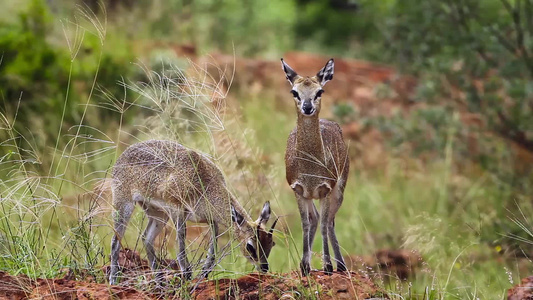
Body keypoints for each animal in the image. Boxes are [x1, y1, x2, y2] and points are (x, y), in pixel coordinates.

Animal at [106, 139, 276, 284]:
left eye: (271, 242)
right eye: (250, 246)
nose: (264, 267)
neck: (204, 181)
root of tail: (124, 154)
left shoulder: (211, 221)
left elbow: (213, 250)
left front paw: (203, 274)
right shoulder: (177, 211)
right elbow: (181, 244)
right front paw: (187, 274)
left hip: (158, 214)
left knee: (146, 238)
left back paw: (159, 281)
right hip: (124, 205)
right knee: (115, 241)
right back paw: (113, 280)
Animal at [278, 58, 350, 274]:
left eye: (320, 91)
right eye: (294, 91)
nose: (307, 107)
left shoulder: (325, 189)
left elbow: (325, 224)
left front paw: (327, 266)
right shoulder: (299, 190)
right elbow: (305, 224)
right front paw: (305, 266)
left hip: (339, 190)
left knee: (330, 221)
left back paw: (340, 265)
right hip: (312, 197)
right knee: (316, 218)